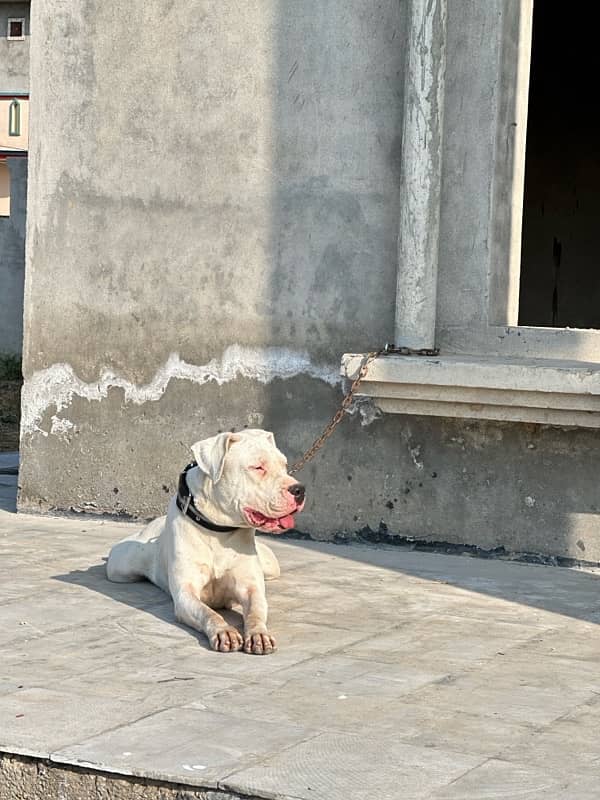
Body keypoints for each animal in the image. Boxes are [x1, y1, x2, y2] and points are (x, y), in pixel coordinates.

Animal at [104, 432, 304, 656]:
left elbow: (256, 612)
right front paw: (224, 631)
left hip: (270, 567)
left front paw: (259, 634)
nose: (299, 489)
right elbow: (207, 613)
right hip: (121, 569)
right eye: (258, 467)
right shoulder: (186, 594)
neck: (218, 531)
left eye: (284, 465)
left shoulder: (251, 588)